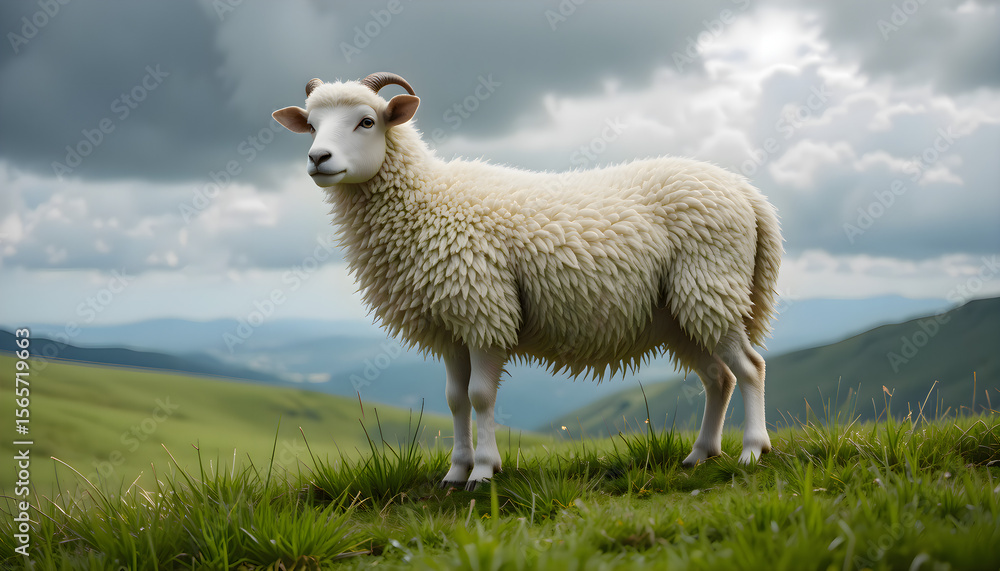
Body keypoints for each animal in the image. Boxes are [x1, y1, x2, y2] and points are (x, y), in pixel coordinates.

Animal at [273, 72, 783, 489]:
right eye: (312, 125)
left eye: (366, 122)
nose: (318, 158)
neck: (429, 201)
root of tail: (748, 193)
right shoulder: (450, 325)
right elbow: (455, 400)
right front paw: (455, 472)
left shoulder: (484, 310)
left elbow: (480, 397)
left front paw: (482, 471)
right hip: (680, 313)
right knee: (718, 378)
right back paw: (700, 455)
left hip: (711, 285)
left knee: (750, 368)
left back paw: (752, 451)